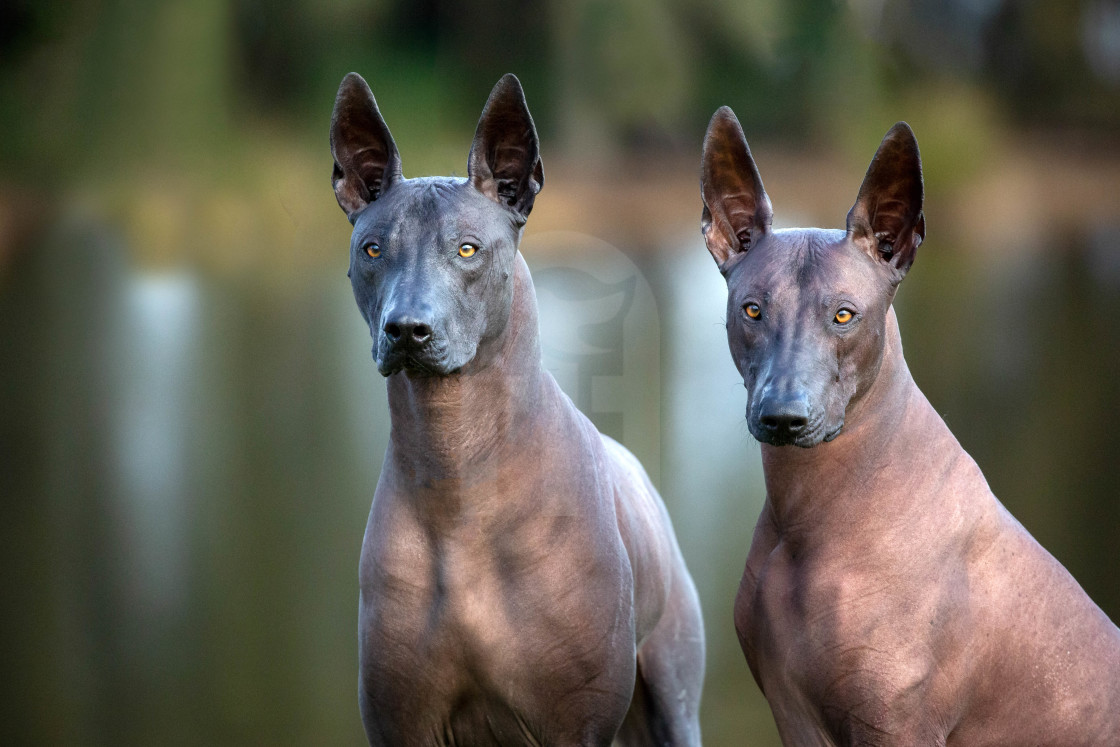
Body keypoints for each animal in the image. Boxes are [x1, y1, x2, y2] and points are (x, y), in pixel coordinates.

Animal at [327, 71, 703, 747]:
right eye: (371, 250)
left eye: (468, 250)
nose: (407, 329)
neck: (457, 476)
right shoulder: (400, 724)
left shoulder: (576, 723)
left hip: (675, 698)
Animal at [698, 108, 1120, 743]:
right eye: (752, 310)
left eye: (844, 315)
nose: (783, 416)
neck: (811, 517)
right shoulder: (794, 715)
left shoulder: (895, 725)